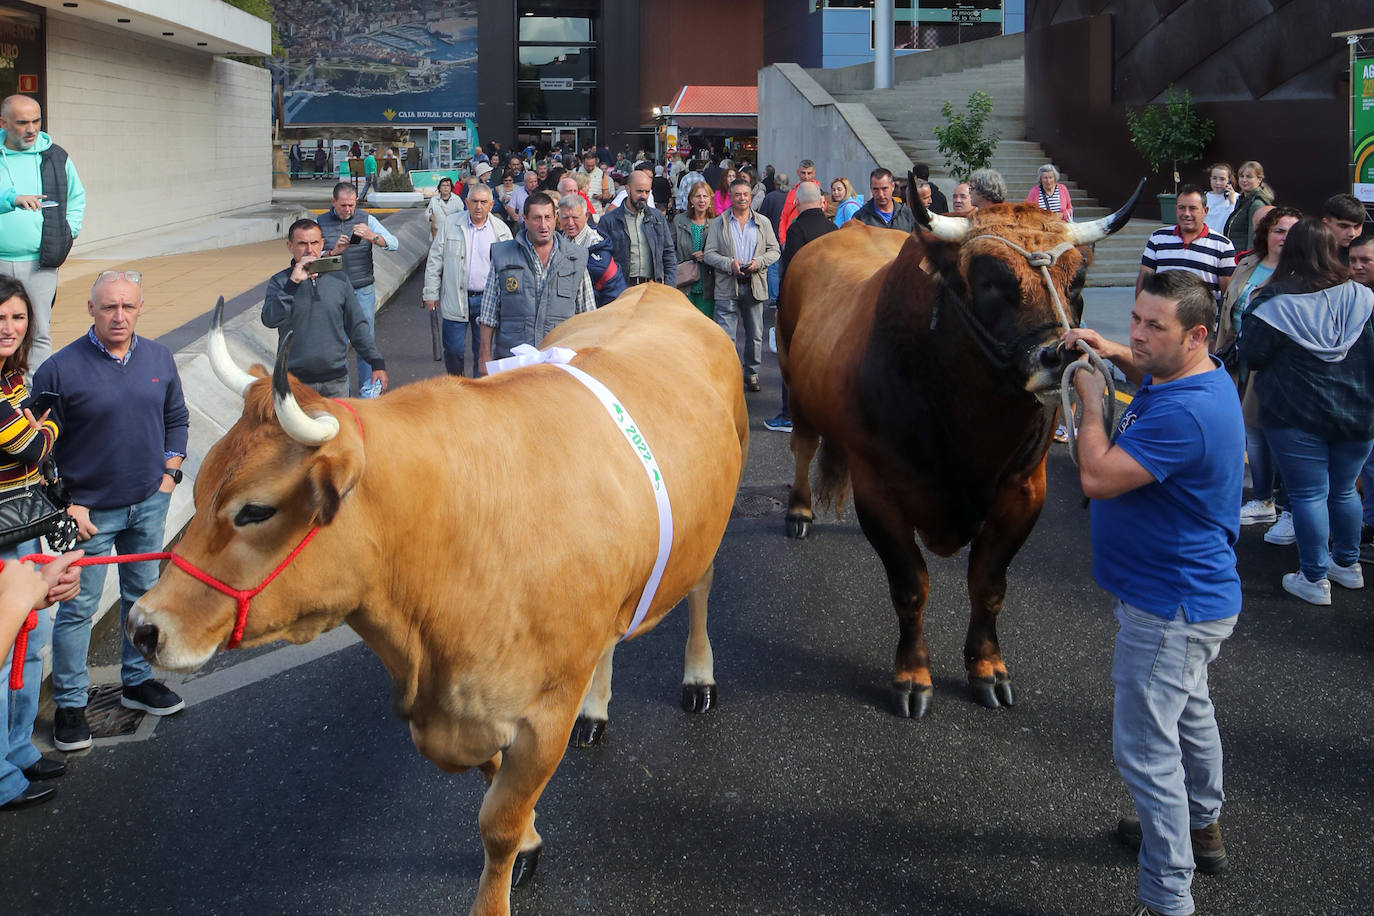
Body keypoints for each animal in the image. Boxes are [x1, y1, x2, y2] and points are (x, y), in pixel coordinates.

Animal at [780, 184, 1143, 714]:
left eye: (1077, 281)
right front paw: (912, 676)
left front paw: (987, 667)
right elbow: (910, 587)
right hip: (796, 389)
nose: (1062, 356)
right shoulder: (878, 490)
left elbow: (988, 585)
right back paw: (799, 512)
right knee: (803, 450)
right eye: (990, 282)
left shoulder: (1025, 490)